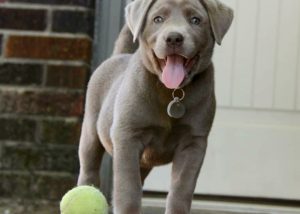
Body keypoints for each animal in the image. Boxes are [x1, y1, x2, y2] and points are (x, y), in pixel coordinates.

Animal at [78, 0, 233, 214]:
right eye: (158, 19)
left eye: (195, 20)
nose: (174, 38)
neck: (171, 92)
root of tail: (119, 56)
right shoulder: (127, 136)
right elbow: (128, 188)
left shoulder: (193, 143)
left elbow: (181, 188)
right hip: (91, 132)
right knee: (89, 168)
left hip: (144, 160)